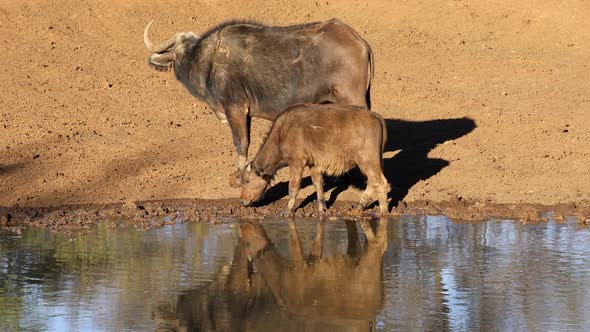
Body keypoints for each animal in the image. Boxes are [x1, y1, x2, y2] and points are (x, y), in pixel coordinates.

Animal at [145, 18, 374, 187]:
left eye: (186, 49)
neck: (208, 60)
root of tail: (359, 41)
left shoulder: (235, 109)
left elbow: (241, 143)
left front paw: (239, 177)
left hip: (352, 98)